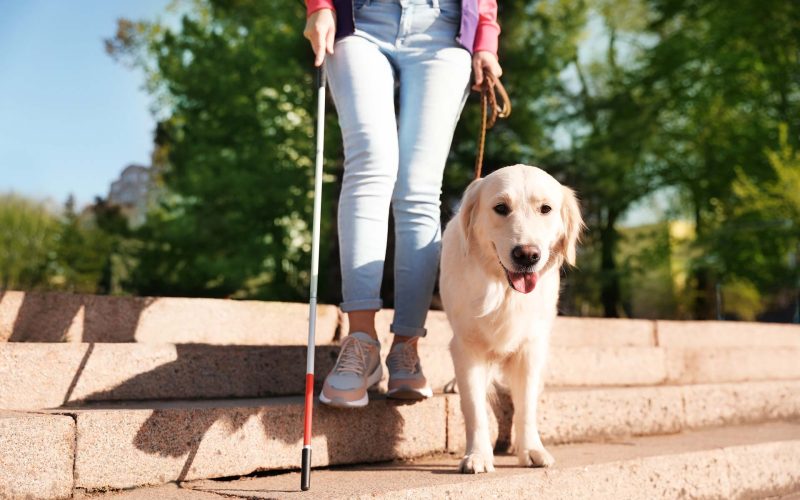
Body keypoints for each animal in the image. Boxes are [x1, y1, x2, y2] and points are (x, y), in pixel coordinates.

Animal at [438, 163, 580, 472]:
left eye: (545, 209)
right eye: (501, 208)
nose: (527, 255)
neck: (504, 290)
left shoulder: (531, 347)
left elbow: (526, 405)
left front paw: (531, 450)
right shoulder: (467, 346)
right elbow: (474, 408)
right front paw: (478, 455)